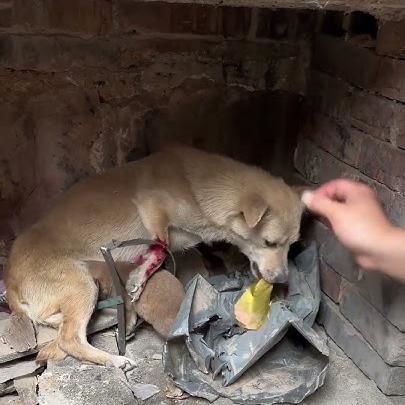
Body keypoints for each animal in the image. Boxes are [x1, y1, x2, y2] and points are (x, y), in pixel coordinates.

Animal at [4, 146, 304, 370]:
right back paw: (115, 358)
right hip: (82, 286)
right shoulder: (151, 205)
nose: (283, 279)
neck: (198, 190)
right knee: (69, 339)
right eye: (269, 242)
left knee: (59, 323)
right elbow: (161, 245)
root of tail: (10, 283)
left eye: (292, 244)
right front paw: (139, 277)